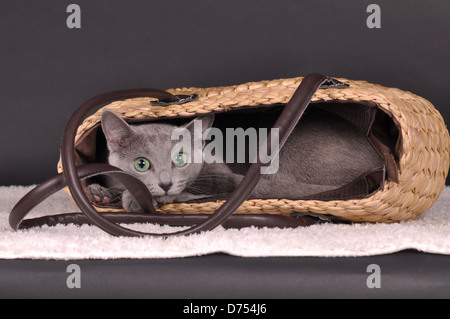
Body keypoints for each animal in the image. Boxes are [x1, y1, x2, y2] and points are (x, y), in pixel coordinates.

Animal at [88, 109, 384, 211]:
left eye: (181, 159)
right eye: (141, 164)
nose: (165, 184)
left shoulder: (222, 175)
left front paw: (133, 197)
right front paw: (99, 191)